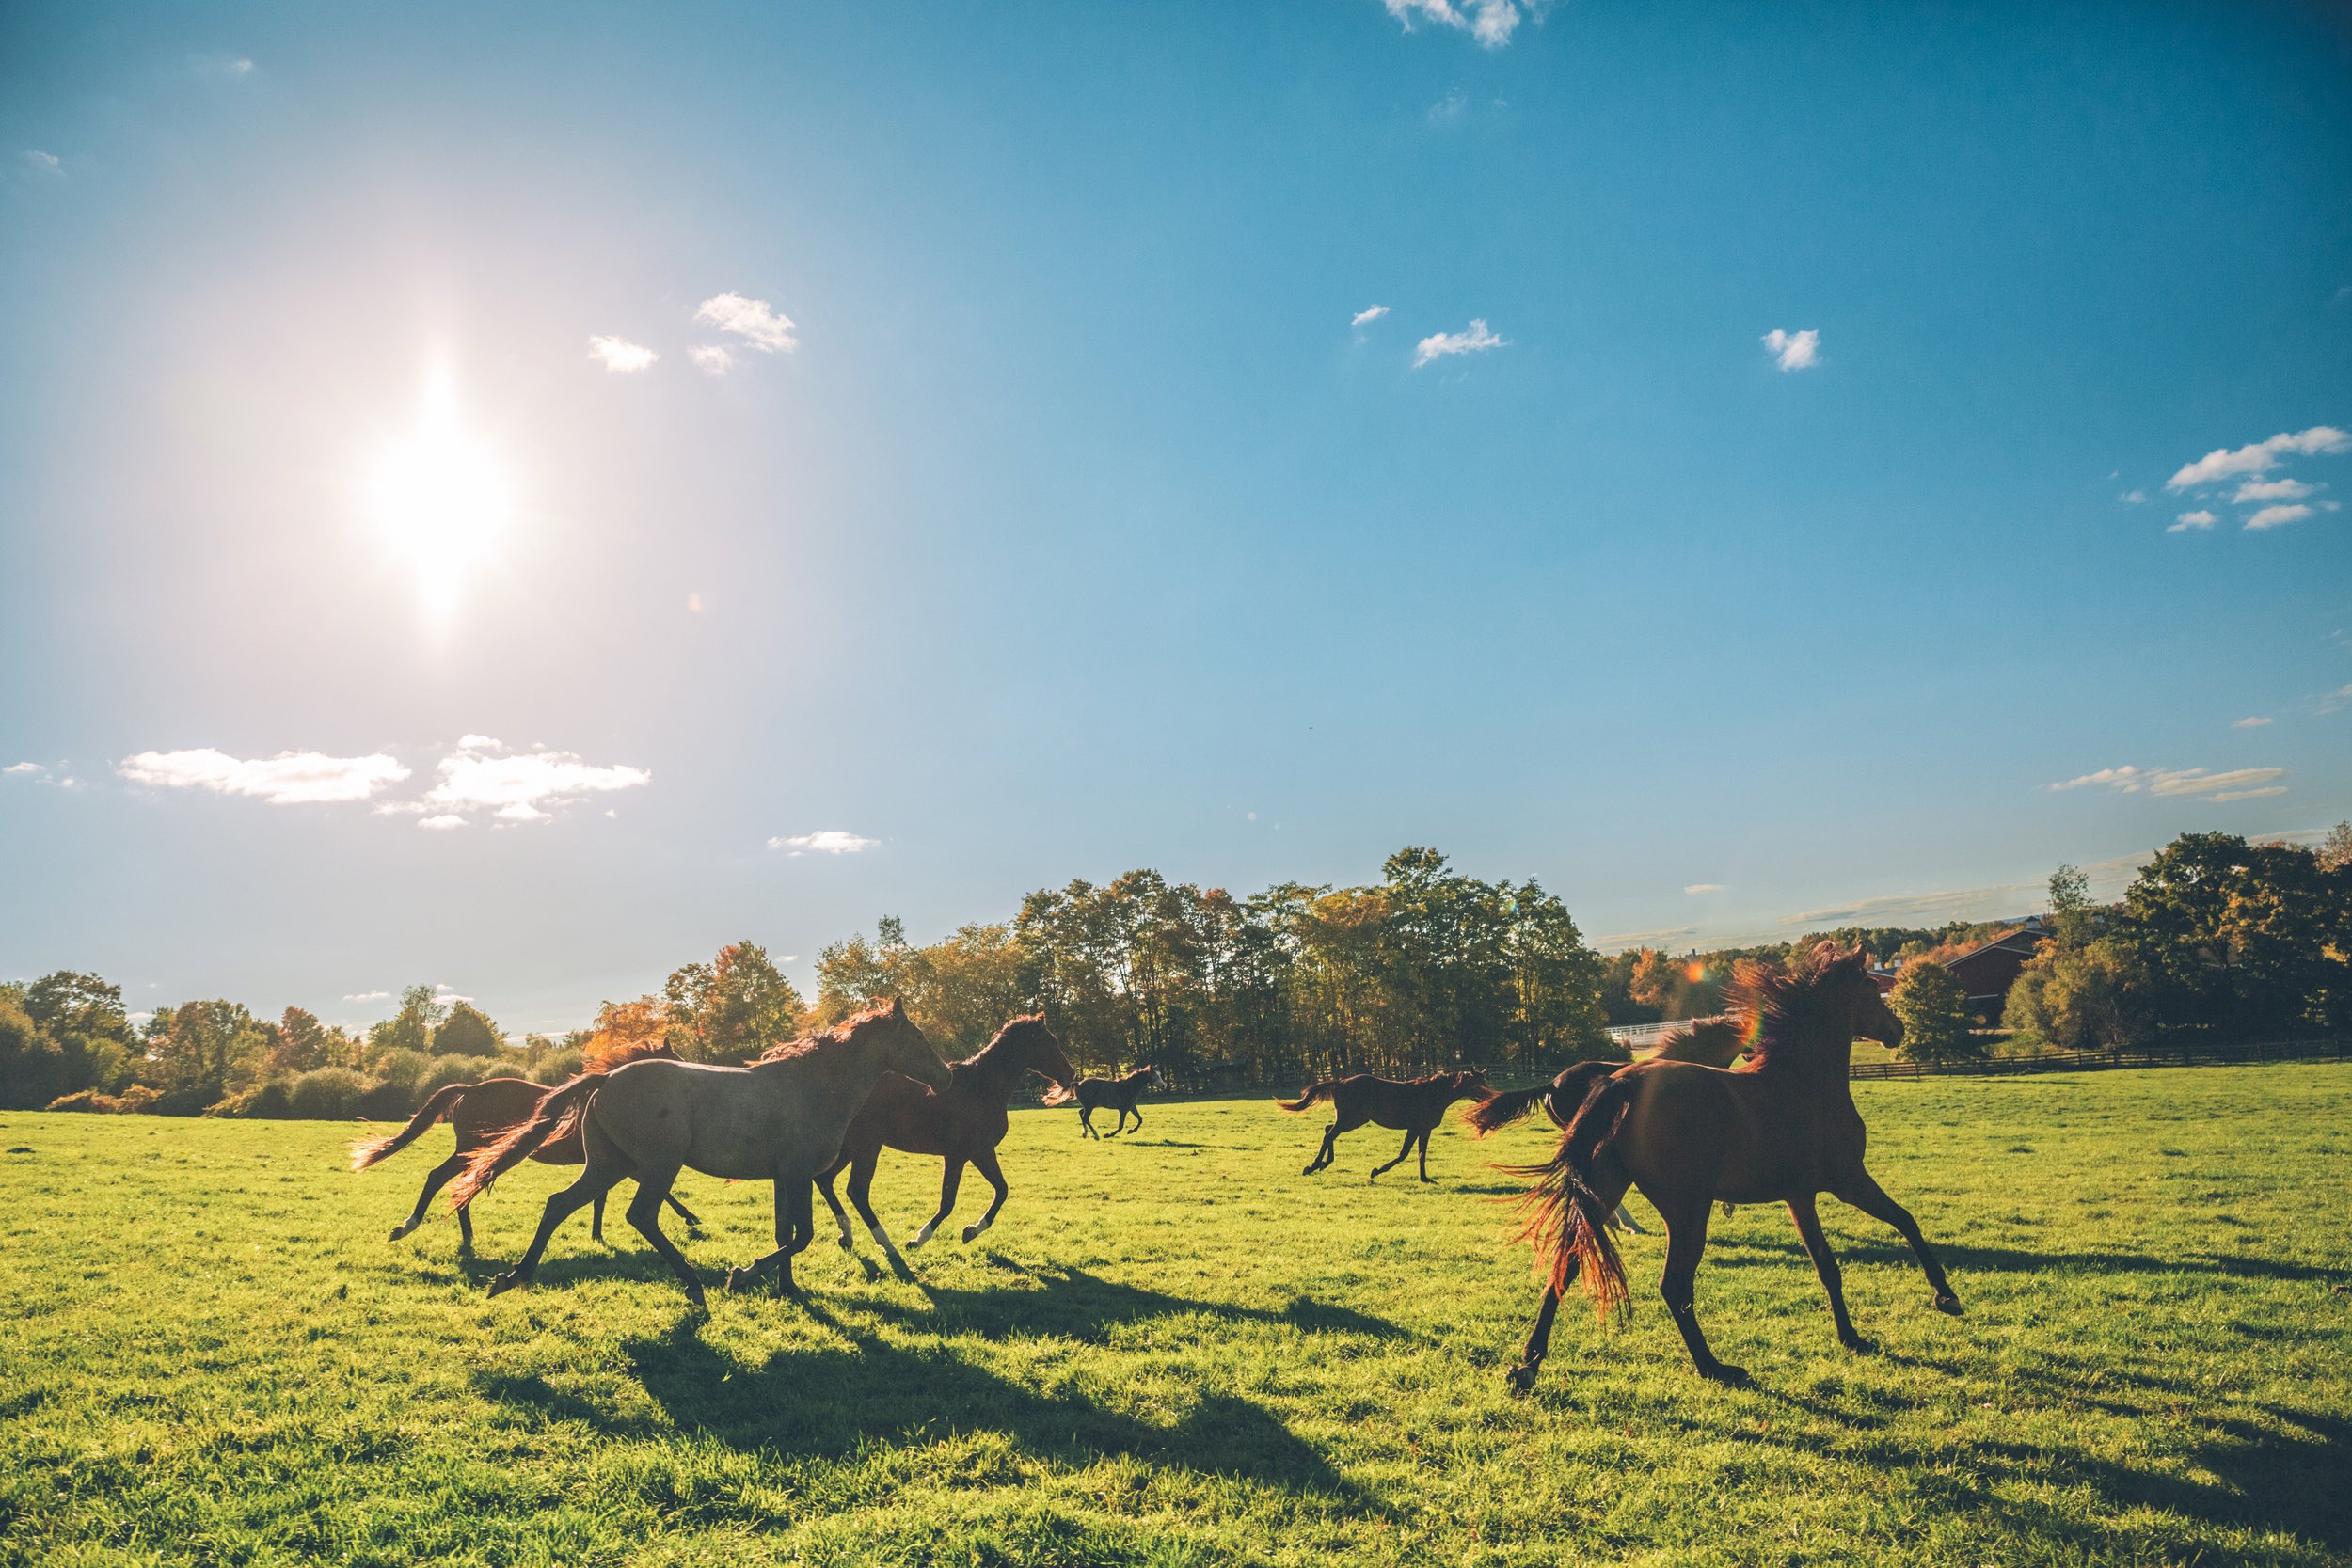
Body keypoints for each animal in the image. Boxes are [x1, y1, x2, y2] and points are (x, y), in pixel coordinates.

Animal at [345, 1043, 696, 1250]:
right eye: (675, 1060)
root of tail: (469, 1089)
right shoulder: (620, 1162)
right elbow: (659, 1193)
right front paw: (691, 1218)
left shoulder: (608, 1162)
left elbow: (601, 1199)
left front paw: (597, 1236)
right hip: (471, 1151)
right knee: (439, 1178)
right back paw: (411, 1226)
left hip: (476, 1154)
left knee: (460, 1185)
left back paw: (467, 1235)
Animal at [449, 1001, 946, 1307]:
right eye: (918, 1037)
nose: (946, 1077)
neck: (811, 1088)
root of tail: (605, 1080)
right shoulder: (799, 1173)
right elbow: (801, 1236)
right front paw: (741, 1275)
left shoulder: (783, 1177)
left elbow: (785, 1232)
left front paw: (787, 1288)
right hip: (657, 1166)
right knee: (640, 1216)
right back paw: (693, 1284)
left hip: (609, 1166)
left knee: (557, 1205)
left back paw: (513, 1277)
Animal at [818, 1010, 1077, 1269]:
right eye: (1050, 1041)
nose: (1071, 1074)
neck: (981, 1087)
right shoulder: (972, 1153)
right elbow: (963, 1199)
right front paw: (925, 1239)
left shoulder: (967, 1156)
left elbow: (990, 1192)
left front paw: (965, 1231)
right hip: (867, 1147)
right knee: (857, 1190)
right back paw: (886, 1245)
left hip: (849, 1148)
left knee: (825, 1180)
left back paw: (847, 1236)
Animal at [1279, 1071, 1496, 1184]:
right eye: (1476, 1085)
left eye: (1484, 1082)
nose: (1490, 1099)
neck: (1432, 1094)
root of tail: (1340, 1082)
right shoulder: (1416, 1128)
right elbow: (1405, 1154)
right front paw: (1376, 1171)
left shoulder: (1424, 1129)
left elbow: (1420, 1154)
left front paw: (1425, 1178)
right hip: (1351, 1120)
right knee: (1329, 1135)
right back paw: (1313, 1166)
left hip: (1350, 1120)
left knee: (1327, 1131)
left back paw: (1323, 1163)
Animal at [1496, 949, 1957, 1391]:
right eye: (1871, 989)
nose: (1898, 1030)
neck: (1802, 1082)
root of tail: (1621, 1084)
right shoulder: (1848, 1180)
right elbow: (1906, 1220)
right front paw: (1945, 1296)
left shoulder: (1799, 1196)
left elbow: (1827, 1266)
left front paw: (1852, 1338)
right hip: (1686, 1210)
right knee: (1674, 1285)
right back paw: (1714, 1367)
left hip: (1604, 1189)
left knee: (1566, 1267)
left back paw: (1528, 1365)